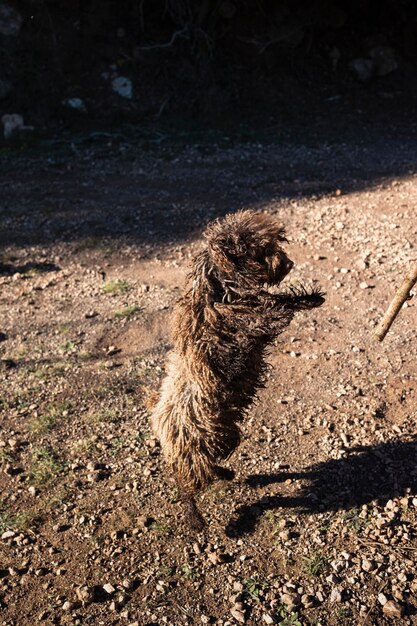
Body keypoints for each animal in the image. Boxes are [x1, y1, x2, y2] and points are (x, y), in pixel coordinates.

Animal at [151, 210, 324, 528]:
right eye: (259, 251)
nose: (289, 263)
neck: (219, 291)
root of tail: (159, 425)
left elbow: (278, 300)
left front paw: (311, 297)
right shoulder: (243, 325)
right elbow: (271, 311)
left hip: (221, 435)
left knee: (208, 468)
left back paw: (227, 474)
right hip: (194, 449)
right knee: (188, 484)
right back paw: (197, 518)